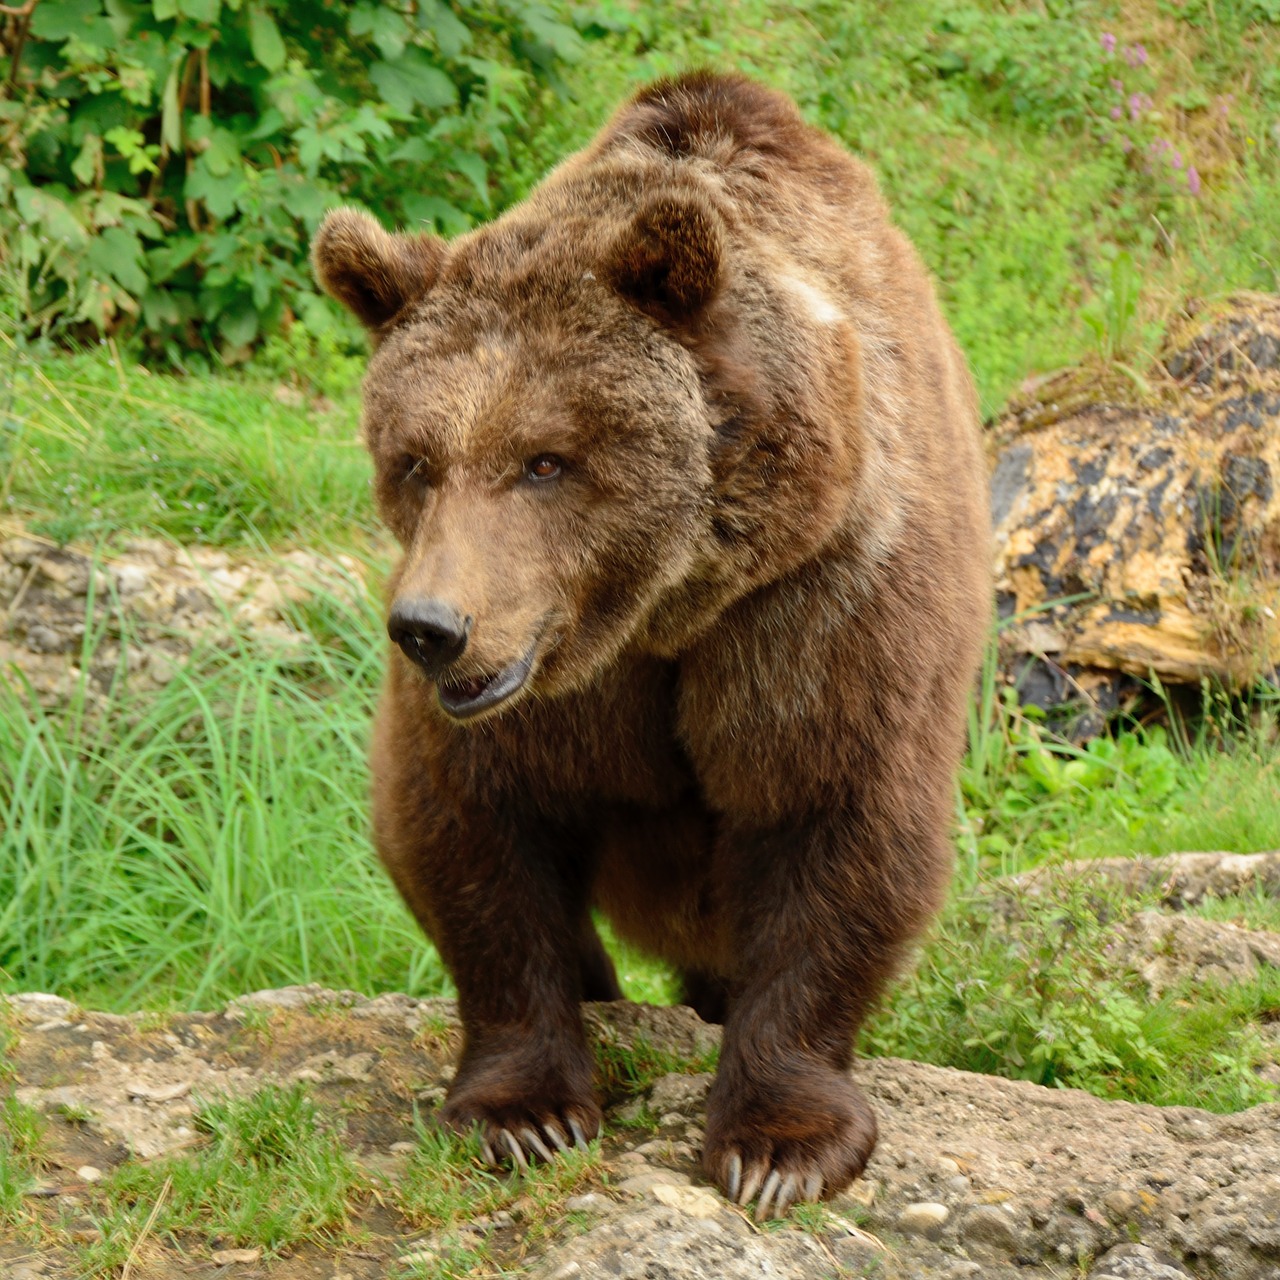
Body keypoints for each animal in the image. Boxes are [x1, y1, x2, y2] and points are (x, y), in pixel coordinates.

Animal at [309, 72, 988, 1218]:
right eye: (414, 460)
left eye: (546, 460)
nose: (430, 628)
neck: (661, 607)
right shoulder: (539, 695)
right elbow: (470, 830)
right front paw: (526, 1112)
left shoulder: (821, 601)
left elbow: (833, 817)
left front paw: (779, 1143)